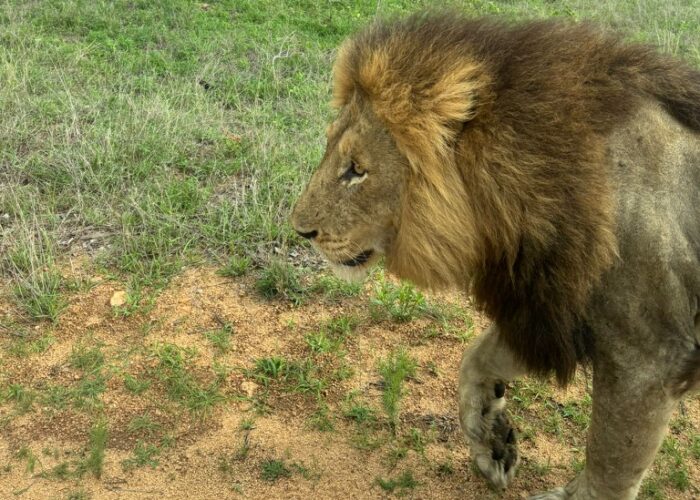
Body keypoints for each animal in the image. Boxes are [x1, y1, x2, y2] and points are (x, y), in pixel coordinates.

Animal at [291, 14, 700, 499]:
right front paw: (492, 438)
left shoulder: (647, 357)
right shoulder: (546, 308)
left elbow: (611, 463)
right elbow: (475, 358)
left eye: (357, 169)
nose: (300, 229)